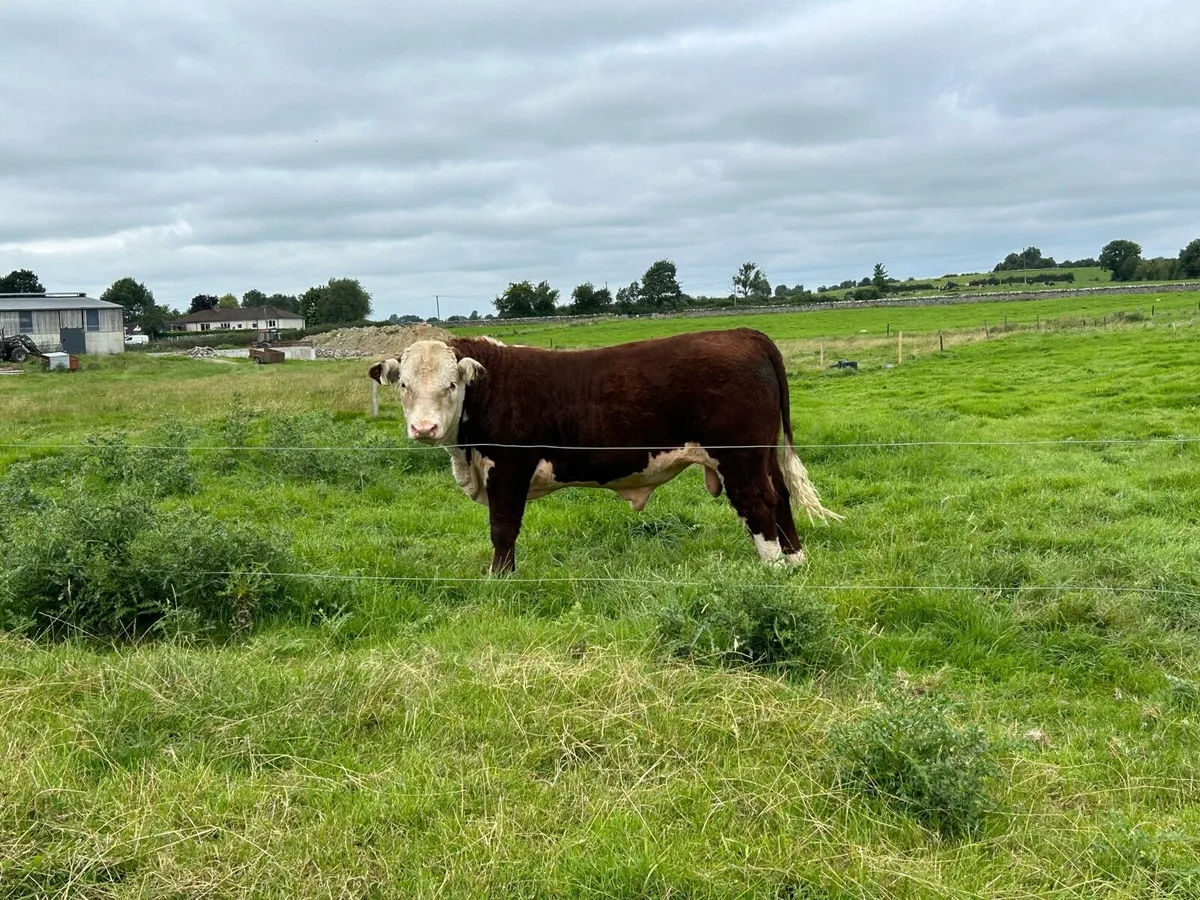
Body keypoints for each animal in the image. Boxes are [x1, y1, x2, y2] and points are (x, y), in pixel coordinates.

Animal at [368, 328, 840, 574]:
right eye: (404, 385)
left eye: (451, 384)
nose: (424, 428)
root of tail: (743, 332)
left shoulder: (508, 469)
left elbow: (503, 529)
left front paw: (499, 579)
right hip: (762, 452)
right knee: (781, 495)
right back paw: (795, 560)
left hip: (738, 453)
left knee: (758, 502)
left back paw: (773, 568)